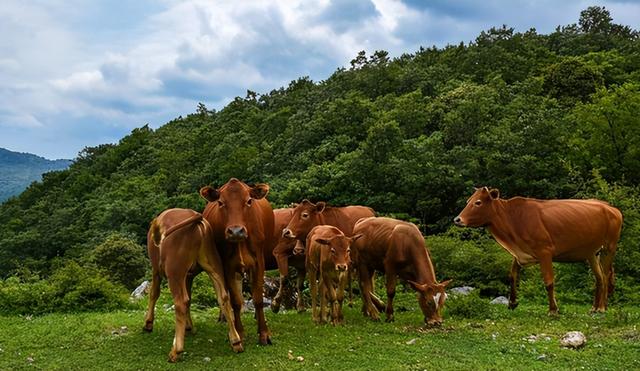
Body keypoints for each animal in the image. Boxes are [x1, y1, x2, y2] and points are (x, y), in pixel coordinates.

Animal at [143, 209, 242, 364]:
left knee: (180, 302)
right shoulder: (189, 275)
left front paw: (148, 324)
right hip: (214, 263)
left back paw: (176, 351)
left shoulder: (156, 270)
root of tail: (195, 215)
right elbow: (189, 298)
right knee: (223, 297)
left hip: (174, 271)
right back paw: (236, 342)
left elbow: (154, 293)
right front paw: (188, 326)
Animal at [200, 179, 276, 344]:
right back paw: (224, 318)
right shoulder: (227, 265)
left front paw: (264, 333)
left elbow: (258, 299)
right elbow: (235, 300)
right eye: (221, 202)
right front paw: (239, 332)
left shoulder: (258, 263)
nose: (235, 231)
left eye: (249, 201)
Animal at [452, 189, 624, 314]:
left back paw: (602, 308)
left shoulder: (545, 252)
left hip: (609, 248)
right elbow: (512, 276)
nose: (457, 219)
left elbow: (548, 281)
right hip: (592, 253)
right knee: (599, 277)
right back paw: (595, 307)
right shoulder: (521, 253)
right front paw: (512, 302)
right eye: (468, 201)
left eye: (478, 202)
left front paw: (553, 310)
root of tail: (610, 207)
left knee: (606, 275)